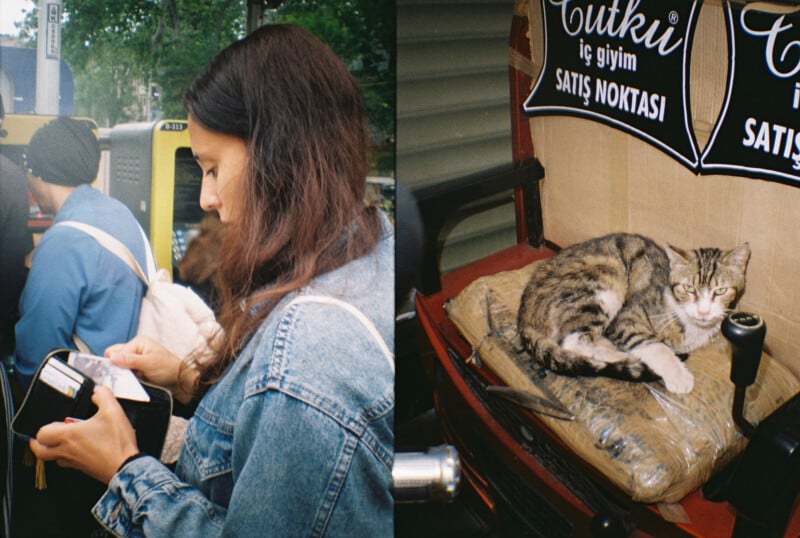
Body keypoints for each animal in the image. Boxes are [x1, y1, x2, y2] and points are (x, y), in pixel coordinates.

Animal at [520, 232, 752, 392]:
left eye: (721, 291)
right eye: (688, 288)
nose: (703, 312)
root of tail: (524, 314)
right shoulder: (627, 316)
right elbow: (654, 345)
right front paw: (678, 375)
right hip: (603, 281)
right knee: (573, 342)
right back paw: (624, 358)